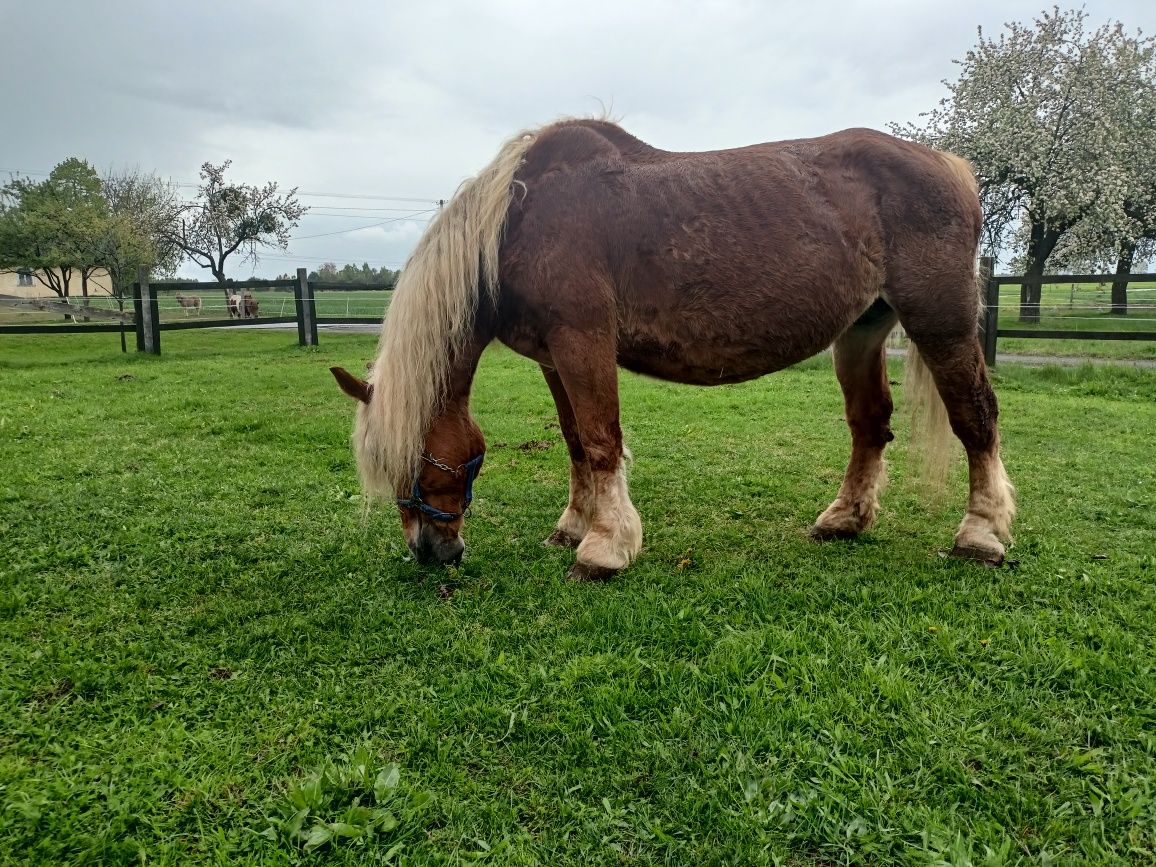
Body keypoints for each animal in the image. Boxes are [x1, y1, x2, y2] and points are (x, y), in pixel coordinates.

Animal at [330, 120, 1017, 584]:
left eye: (417, 463)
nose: (429, 552)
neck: (520, 219)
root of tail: (950, 166)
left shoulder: (583, 340)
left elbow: (601, 439)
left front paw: (605, 547)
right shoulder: (552, 355)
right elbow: (575, 440)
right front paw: (575, 525)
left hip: (942, 322)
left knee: (975, 418)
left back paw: (981, 533)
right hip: (861, 332)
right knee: (870, 424)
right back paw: (845, 519)